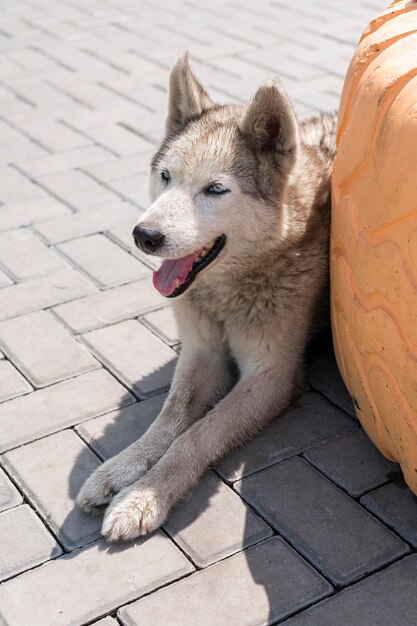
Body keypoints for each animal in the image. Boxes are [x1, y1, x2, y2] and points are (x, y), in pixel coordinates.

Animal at [78, 54, 336, 540]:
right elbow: (170, 417)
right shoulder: (201, 353)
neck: (226, 295)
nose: (144, 235)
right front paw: (121, 467)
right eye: (165, 178)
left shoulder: (269, 378)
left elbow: (195, 437)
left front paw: (144, 496)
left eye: (215, 189)